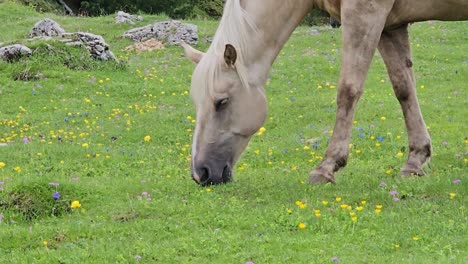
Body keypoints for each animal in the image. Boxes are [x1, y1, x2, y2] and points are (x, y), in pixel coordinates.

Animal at [181, 0, 468, 186]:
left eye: (221, 102)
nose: (200, 173)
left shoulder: (365, 14)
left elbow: (348, 91)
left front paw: (327, 167)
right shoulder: (390, 26)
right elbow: (404, 89)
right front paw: (415, 161)